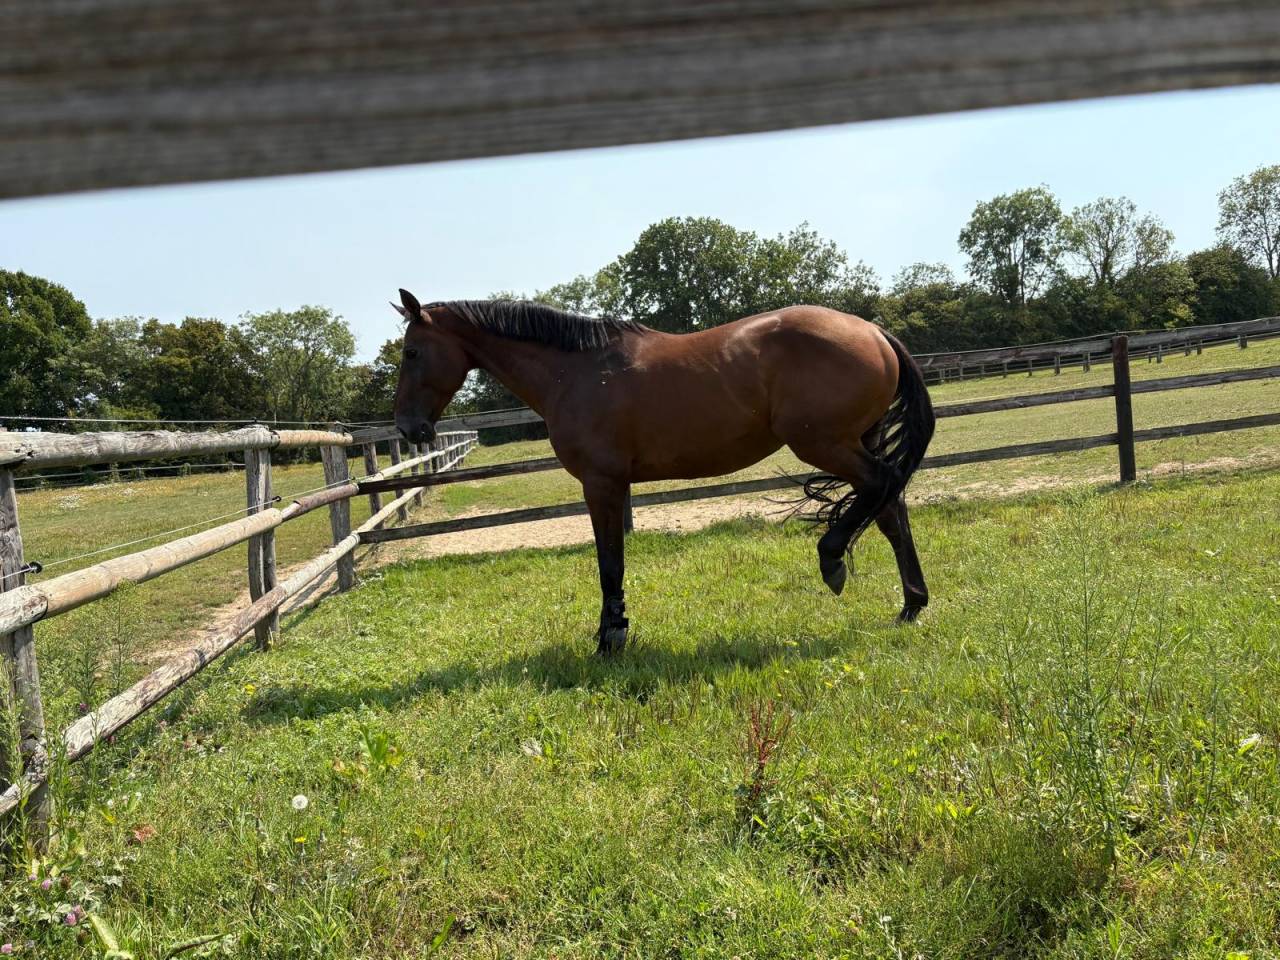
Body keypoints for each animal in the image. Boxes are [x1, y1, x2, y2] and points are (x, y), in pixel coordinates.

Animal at [391, 289, 936, 655]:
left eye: (411, 352)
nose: (407, 427)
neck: (576, 370)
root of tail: (873, 331)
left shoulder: (602, 484)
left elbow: (610, 562)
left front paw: (610, 638)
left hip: (825, 444)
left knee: (883, 486)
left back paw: (833, 560)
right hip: (852, 441)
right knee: (890, 509)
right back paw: (911, 604)